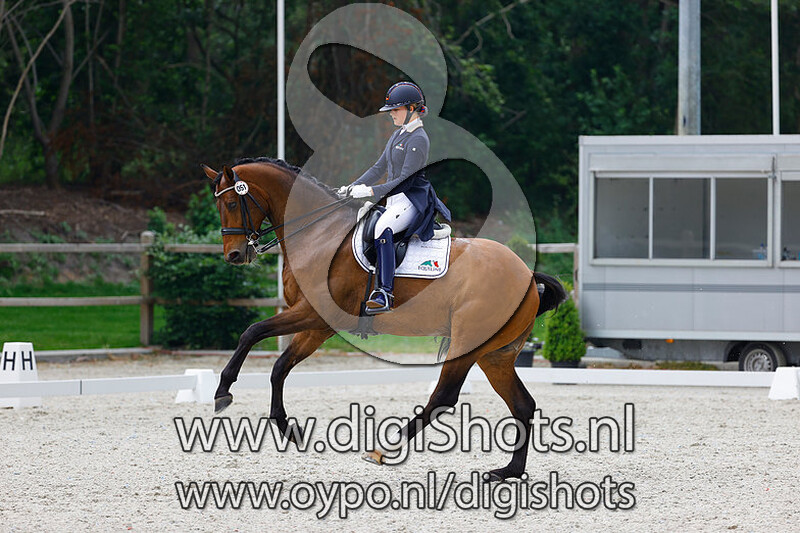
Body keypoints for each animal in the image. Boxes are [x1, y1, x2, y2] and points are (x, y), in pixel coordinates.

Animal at [202, 157, 566, 481]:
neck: (319, 235)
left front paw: (222, 392)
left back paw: (383, 450)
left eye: (232, 202)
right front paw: (286, 427)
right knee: (522, 404)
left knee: (443, 398)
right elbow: (279, 366)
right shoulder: (318, 325)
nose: (235, 255)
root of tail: (527, 274)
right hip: (496, 355)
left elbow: (252, 332)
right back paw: (508, 471)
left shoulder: (312, 313)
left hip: (468, 344)